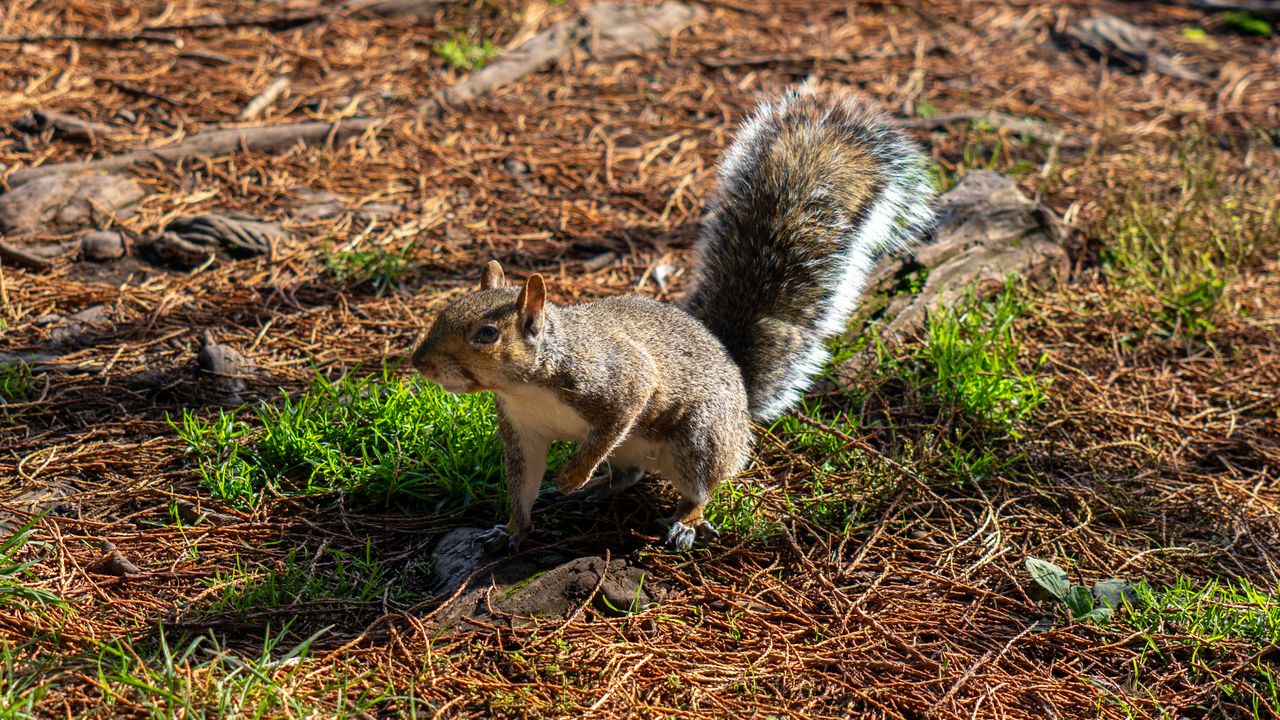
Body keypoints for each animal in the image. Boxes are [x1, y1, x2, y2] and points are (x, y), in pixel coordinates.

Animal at [411, 85, 936, 552]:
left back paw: (684, 520)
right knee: (628, 474)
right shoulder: (523, 430)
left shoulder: (616, 380)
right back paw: (596, 491)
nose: (420, 364)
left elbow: (615, 420)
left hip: (700, 439)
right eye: (443, 310)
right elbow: (522, 487)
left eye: (487, 334)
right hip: (644, 449)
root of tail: (741, 395)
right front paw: (510, 531)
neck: (526, 386)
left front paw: (572, 472)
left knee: (703, 485)